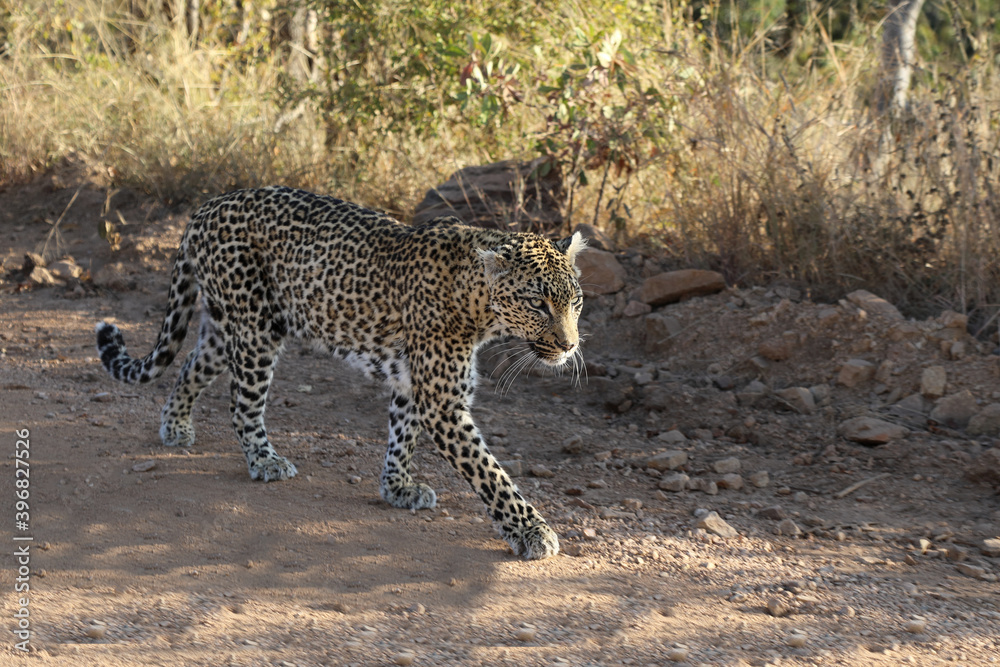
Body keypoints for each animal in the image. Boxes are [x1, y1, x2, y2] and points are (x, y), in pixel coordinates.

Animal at [95, 185, 586, 560]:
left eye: (575, 302)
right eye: (537, 303)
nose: (570, 345)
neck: (479, 306)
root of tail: (206, 206)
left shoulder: (413, 383)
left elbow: (401, 437)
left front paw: (397, 488)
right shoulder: (442, 402)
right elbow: (491, 474)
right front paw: (532, 531)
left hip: (226, 324)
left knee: (190, 368)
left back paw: (175, 426)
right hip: (256, 328)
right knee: (241, 405)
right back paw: (264, 461)